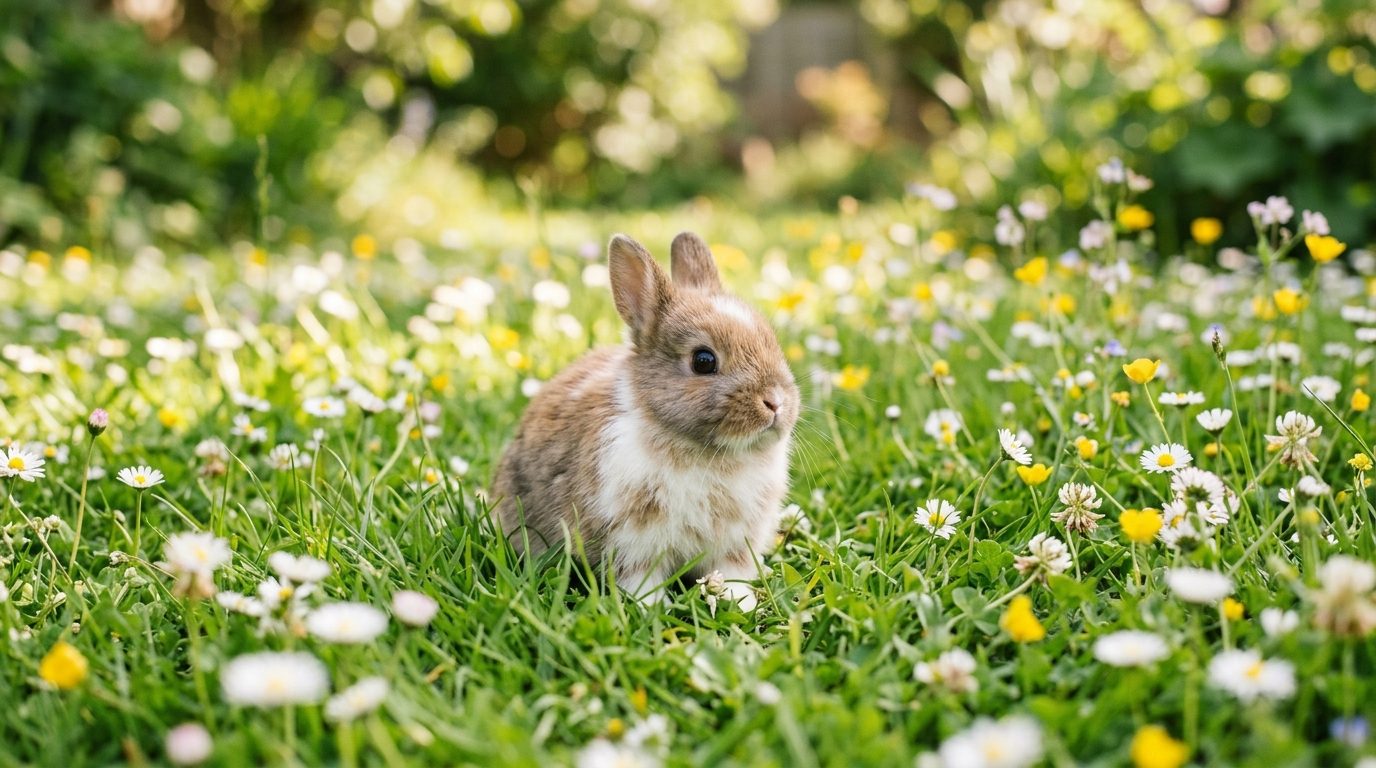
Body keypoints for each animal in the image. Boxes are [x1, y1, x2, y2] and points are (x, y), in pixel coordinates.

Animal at [492, 232, 799, 610]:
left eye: (771, 342)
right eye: (703, 361)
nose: (776, 402)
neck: (708, 451)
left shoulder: (735, 545)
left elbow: (732, 573)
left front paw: (740, 602)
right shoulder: (633, 541)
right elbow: (641, 579)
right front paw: (651, 608)